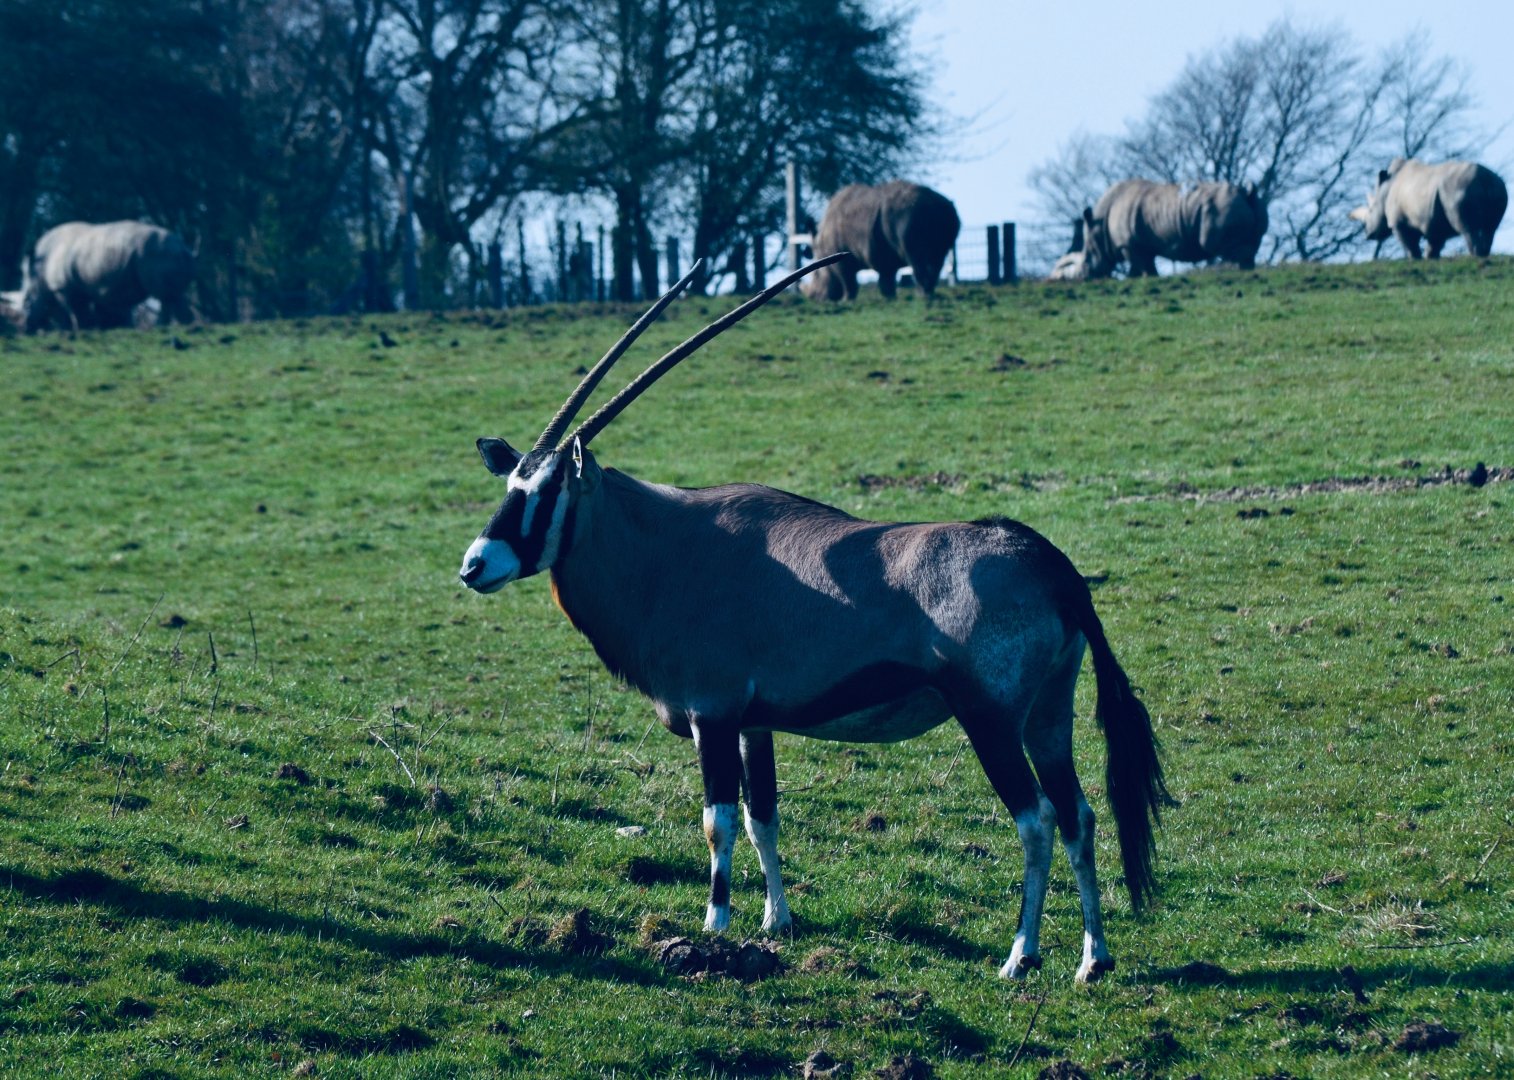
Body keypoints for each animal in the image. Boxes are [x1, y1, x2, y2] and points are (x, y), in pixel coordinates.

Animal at [22, 221, 195, 332]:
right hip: (163, 253)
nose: (25, 328)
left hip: (158, 252)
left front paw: (78, 330)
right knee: (172, 295)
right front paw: (90, 329)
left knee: (164, 295)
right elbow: (84, 309)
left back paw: (163, 328)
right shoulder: (82, 286)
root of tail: (184, 247)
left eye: (28, 302)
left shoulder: (62, 287)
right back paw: (183, 326)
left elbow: (72, 310)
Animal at [801, 180, 960, 300]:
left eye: (816, 275)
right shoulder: (884, 254)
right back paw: (928, 293)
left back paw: (921, 295)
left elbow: (847, 280)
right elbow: (886, 278)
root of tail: (940, 203)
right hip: (941, 215)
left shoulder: (841, 260)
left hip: (909, 217)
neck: (820, 244)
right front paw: (889, 298)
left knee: (916, 258)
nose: (816, 298)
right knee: (937, 258)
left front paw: (846, 300)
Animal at [1080, 179, 1268, 278]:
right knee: (1253, 243)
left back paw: (1233, 271)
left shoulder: (1128, 244)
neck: (1099, 221)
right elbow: (1142, 268)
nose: (1084, 276)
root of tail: (1246, 193)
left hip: (1223, 207)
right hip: (1250, 205)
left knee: (1227, 248)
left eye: (1088, 255)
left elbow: (1142, 267)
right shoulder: (1140, 246)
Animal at [1348, 158, 1507, 259]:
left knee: (1467, 228)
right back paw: (1484, 255)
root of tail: (1485, 179)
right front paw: (1430, 259)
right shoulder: (1434, 221)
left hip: (1460, 188)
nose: (1368, 234)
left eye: (1371, 210)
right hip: (1499, 189)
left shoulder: (1398, 222)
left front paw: (1415, 259)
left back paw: (1475, 256)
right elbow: (1434, 244)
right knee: (1491, 229)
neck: (1385, 190)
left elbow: (1410, 244)